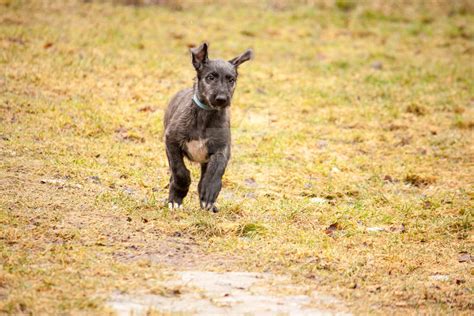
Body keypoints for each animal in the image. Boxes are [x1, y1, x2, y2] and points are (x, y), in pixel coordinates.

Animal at [164, 42, 252, 212]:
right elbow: (180, 171)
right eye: (210, 77)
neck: (205, 116)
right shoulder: (171, 141)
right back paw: (174, 199)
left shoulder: (222, 149)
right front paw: (178, 196)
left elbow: (216, 170)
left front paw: (209, 192)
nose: (222, 99)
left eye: (231, 80)